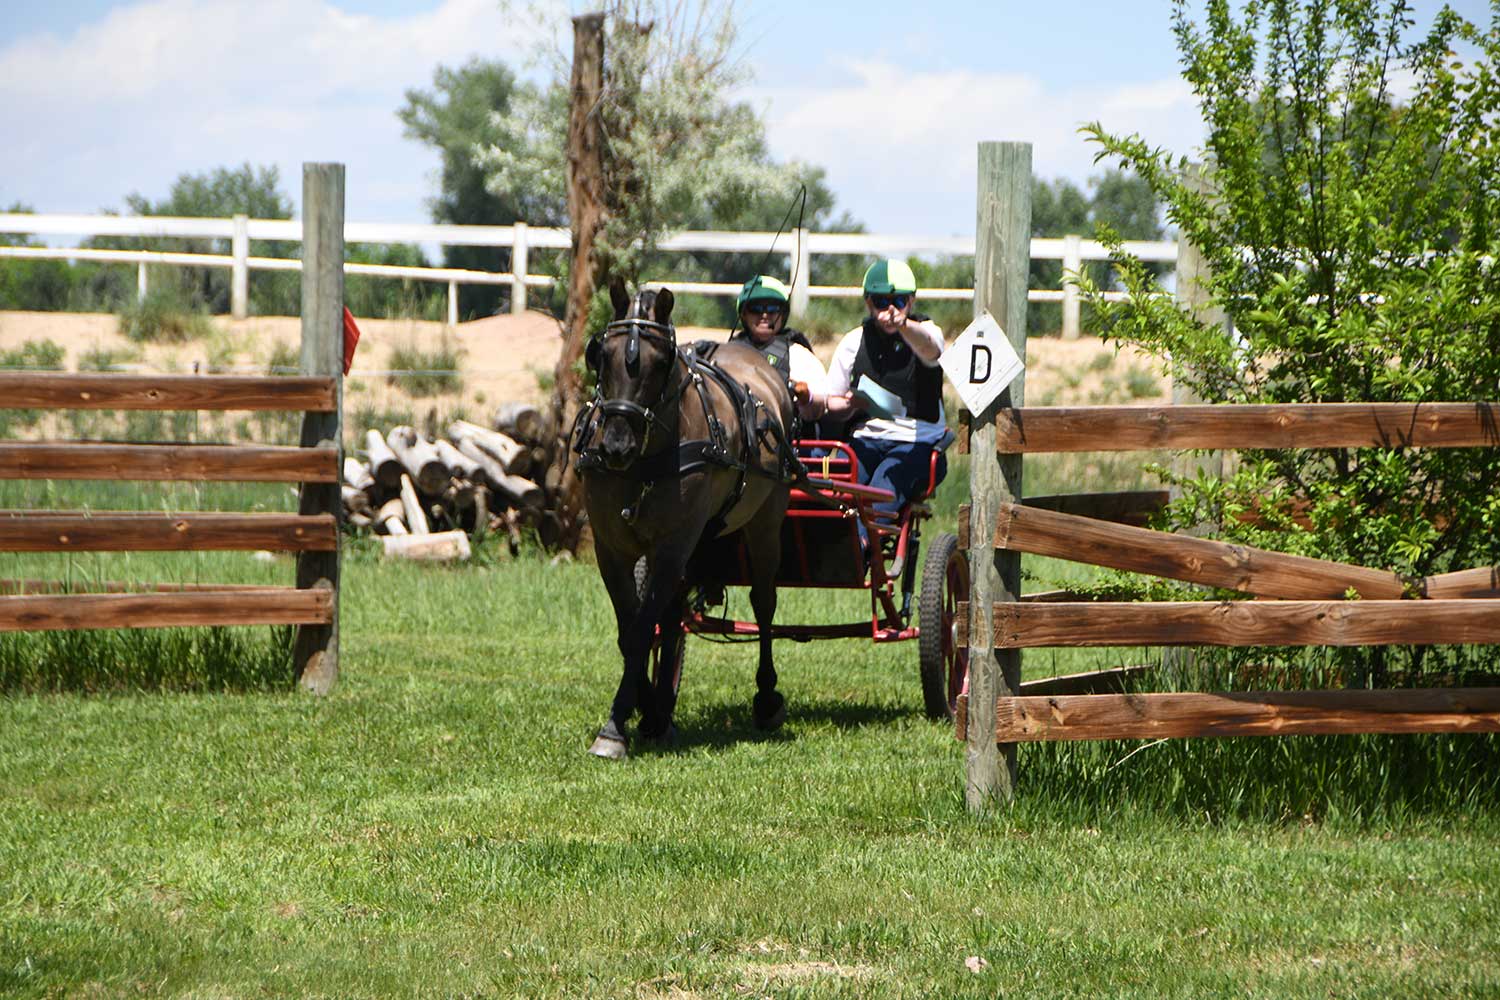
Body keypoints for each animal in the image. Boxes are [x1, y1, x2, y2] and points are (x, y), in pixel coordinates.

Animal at [573, 280, 796, 760]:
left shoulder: (671, 546)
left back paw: (766, 698)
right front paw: (646, 711)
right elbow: (632, 629)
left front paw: (617, 727)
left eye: (660, 363)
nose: (615, 445)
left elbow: (643, 629)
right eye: (601, 354)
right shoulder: (611, 549)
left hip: (765, 520)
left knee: (764, 603)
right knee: (674, 612)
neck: (643, 461)